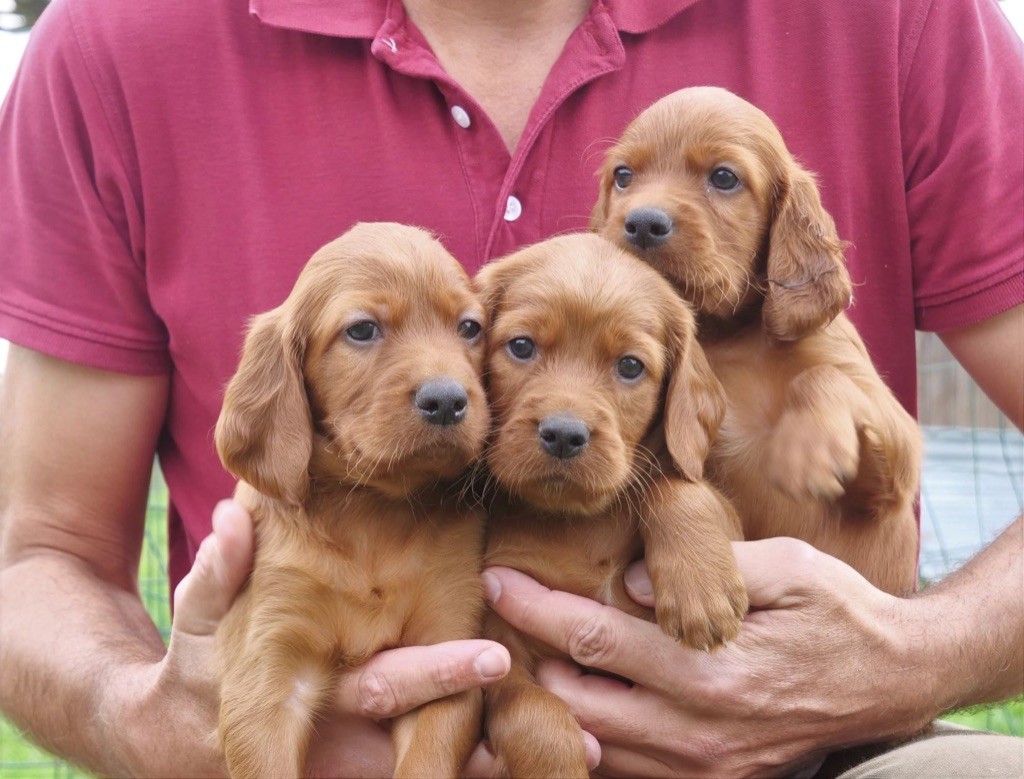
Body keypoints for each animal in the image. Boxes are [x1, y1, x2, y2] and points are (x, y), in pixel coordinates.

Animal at [210, 222, 487, 773]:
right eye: (362, 330)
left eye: (470, 328)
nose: (448, 399)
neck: (371, 512)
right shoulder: (266, 672)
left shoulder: (448, 649)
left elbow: (427, 761)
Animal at [471, 232, 745, 777]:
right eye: (521, 346)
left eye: (630, 366)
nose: (563, 434)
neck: (572, 522)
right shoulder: (500, 645)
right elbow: (533, 713)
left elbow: (675, 484)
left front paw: (702, 588)